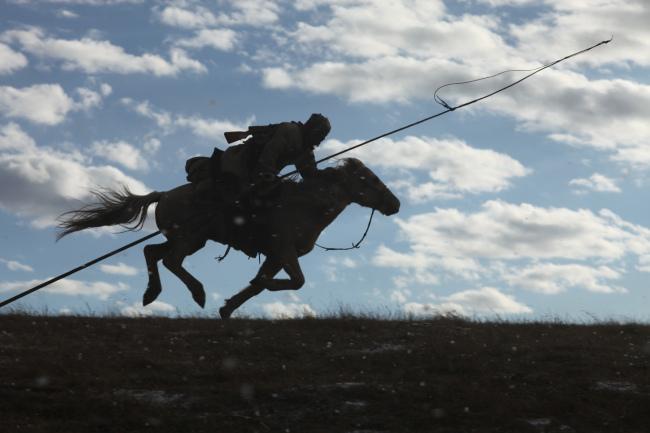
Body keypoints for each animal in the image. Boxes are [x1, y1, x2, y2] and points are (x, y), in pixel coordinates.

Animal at [58, 158, 398, 318]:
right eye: (369, 179)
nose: (394, 204)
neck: (306, 205)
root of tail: (164, 195)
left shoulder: (277, 256)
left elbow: (261, 285)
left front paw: (229, 306)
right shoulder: (284, 251)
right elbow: (294, 281)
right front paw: (251, 290)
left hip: (189, 239)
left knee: (152, 252)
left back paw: (151, 293)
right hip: (190, 238)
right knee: (170, 260)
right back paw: (198, 293)